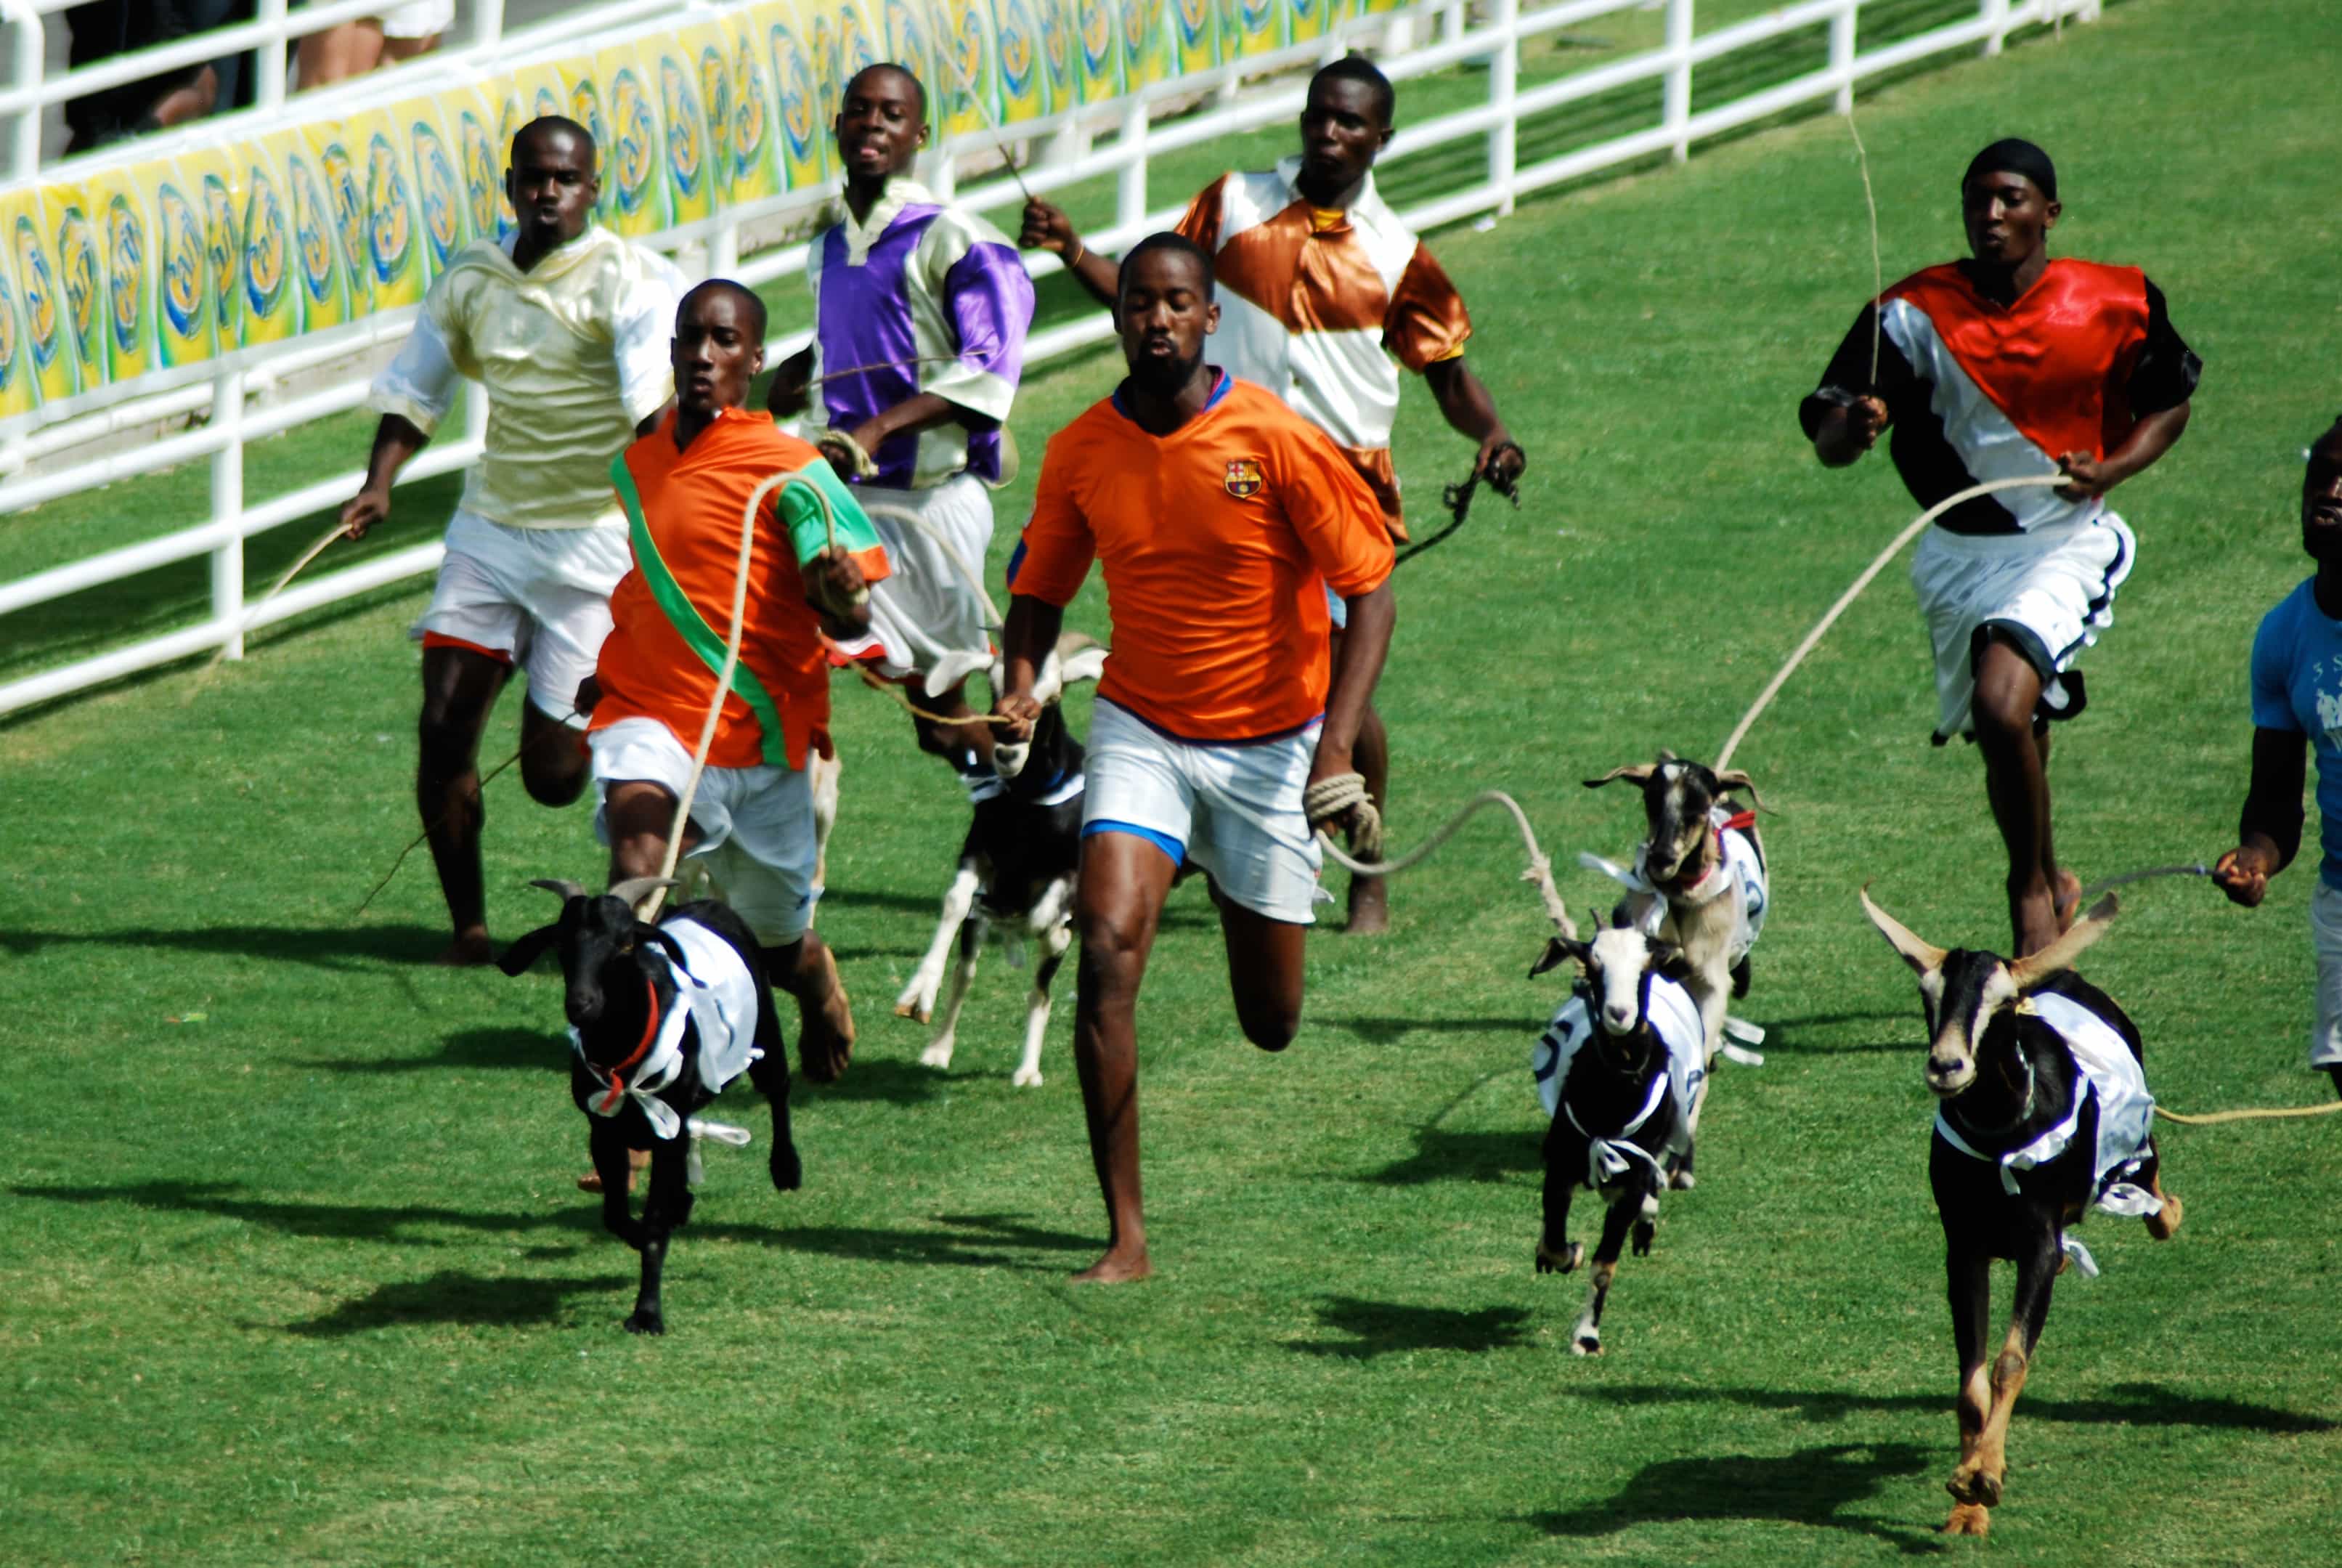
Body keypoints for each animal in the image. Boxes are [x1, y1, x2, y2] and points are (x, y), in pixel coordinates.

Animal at [899, 627, 1110, 1082]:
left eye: (1053, 695)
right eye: (994, 691)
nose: (1008, 755)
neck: (1031, 802)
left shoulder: (1070, 871)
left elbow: (1043, 916)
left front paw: (1037, 926)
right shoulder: (978, 852)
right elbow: (955, 902)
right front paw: (918, 994)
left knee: (1041, 990)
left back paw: (1028, 1070)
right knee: (966, 971)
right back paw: (939, 1049)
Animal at [1526, 923, 1714, 1349]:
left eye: (1646, 967)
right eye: (1593, 965)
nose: (1619, 1014)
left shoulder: (1633, 1179)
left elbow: (1604, 1264)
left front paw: (1586, 1336)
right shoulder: (1560, 1164)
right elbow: (1556, 1241)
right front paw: (1567, 1254)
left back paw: (1647, 1221)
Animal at [1855, 885, 2182, 1537]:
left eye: (2000, 1003)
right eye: (1926, 993)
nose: (1945, 1065)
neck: (2001, 1136)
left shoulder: (2034, 1240)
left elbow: (2009, 1360)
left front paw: (1983, 1475)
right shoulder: (1964, 1247)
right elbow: (1971, 1383)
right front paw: (1965, 1502)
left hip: (2132, 1146)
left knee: (2155, 1190)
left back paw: (2165, 1209)